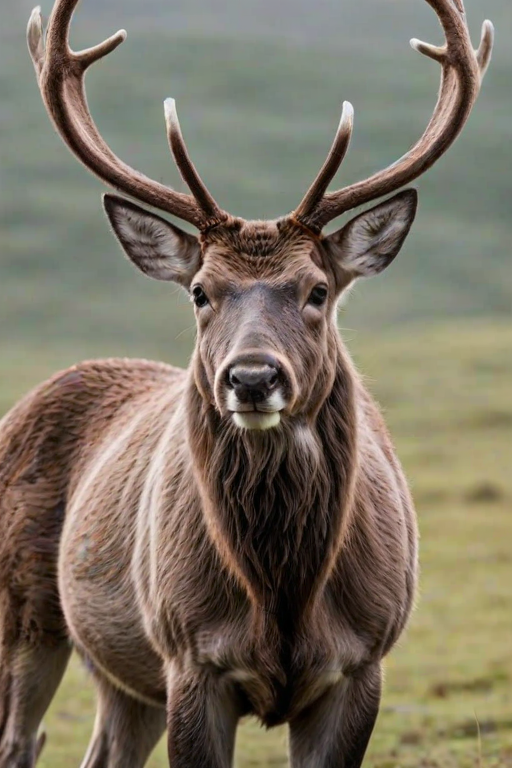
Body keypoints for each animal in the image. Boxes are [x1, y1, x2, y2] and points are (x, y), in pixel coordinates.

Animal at [0, 0, 493, 766]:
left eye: (318, 289)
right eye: (200, 291)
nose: (253, 376)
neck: (282, 595)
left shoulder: (364, 658)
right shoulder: (190, 654)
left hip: (124, 674)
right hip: (24, 611)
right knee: (19, 739)